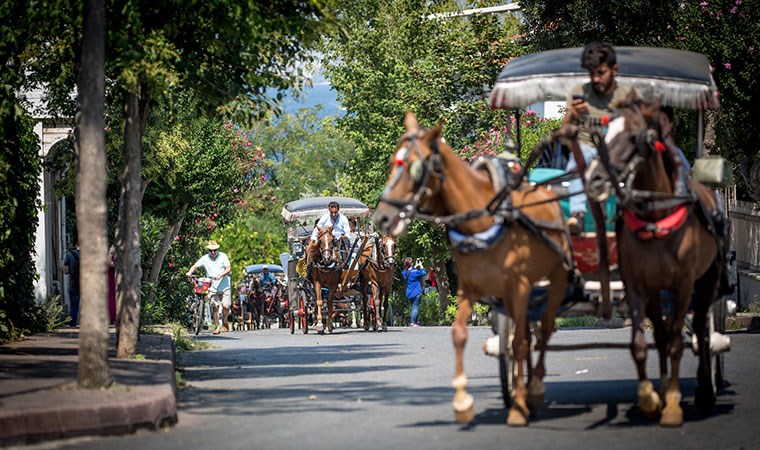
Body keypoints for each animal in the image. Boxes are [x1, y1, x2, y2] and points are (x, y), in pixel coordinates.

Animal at [372, 111, 572, 426]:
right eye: (394, 161)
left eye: (416, 169)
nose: (382, 217)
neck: (484, 221)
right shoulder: (468, 289)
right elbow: (460, 335)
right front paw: (463, 402)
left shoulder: (518, 287)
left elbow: (519, 343)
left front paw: (518, 406)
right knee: (528, 336)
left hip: (552, 281)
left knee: (541, 331)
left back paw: (534, 389)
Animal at [592, 95, 724, 426]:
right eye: (603, 134)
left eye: (633, 137)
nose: (595, 178)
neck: (655, 216)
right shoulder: (637, 286)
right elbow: (641, 344)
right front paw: (651, 399)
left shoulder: (683, 285)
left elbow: (678, 342)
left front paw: (674, 406)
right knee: (663, 334)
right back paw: (664, 390)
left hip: (706, 282)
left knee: (701, 330)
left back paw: (704, 391)